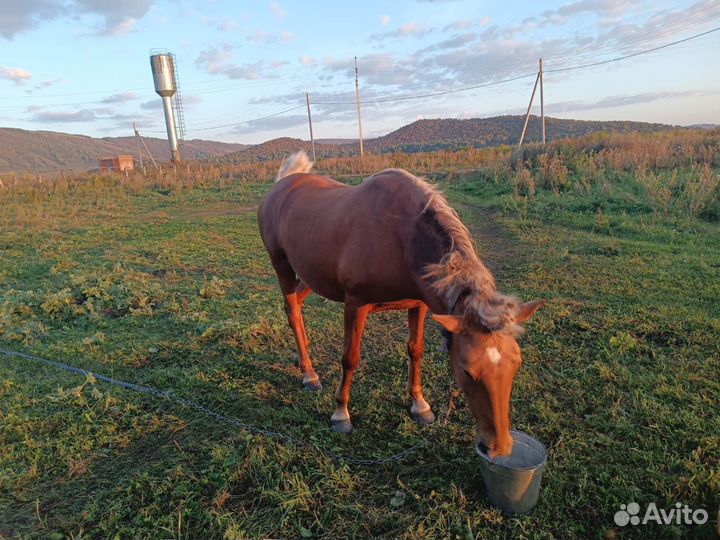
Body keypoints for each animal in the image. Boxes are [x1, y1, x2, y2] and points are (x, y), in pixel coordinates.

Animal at [256, 151, 544, 456]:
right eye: (467, 369)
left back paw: (304, 364)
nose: (498, 447)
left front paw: (420, 405)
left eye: (516, 364)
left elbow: (415, 351)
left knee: (297, 309)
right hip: (282, 267)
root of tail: (283, 183)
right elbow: (350, 358)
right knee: (291, 311)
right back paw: (310, 375)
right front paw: (341, 413)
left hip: (311, 275)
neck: (402, 238)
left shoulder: (419, 305)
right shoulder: (355, 304)